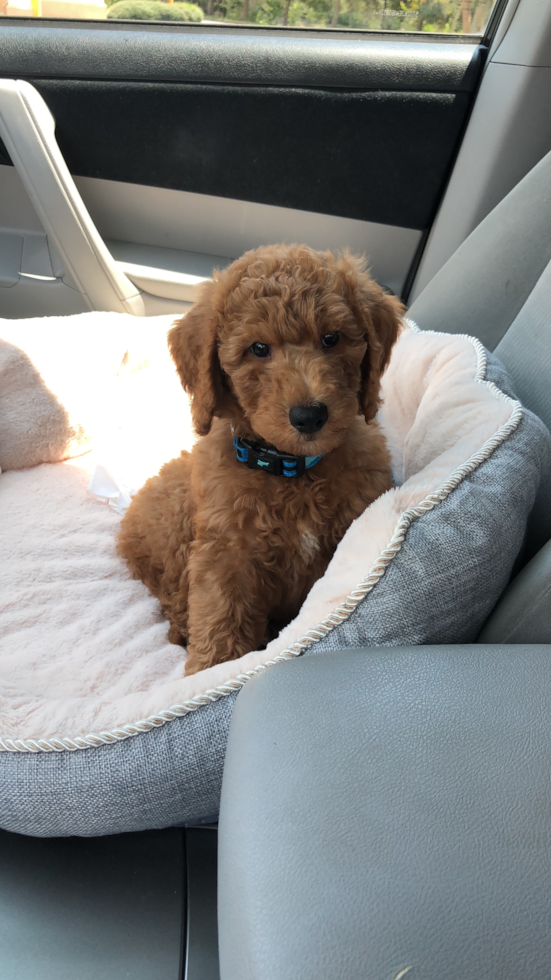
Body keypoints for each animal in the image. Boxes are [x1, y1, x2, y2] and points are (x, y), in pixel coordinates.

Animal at [118, 244, 404, 672]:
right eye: (258, 348)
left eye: (331, 338)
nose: (309, 416)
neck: (291, 470)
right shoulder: (226, 554)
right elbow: (220, 616)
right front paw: (214, 669)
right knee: (174, 597)